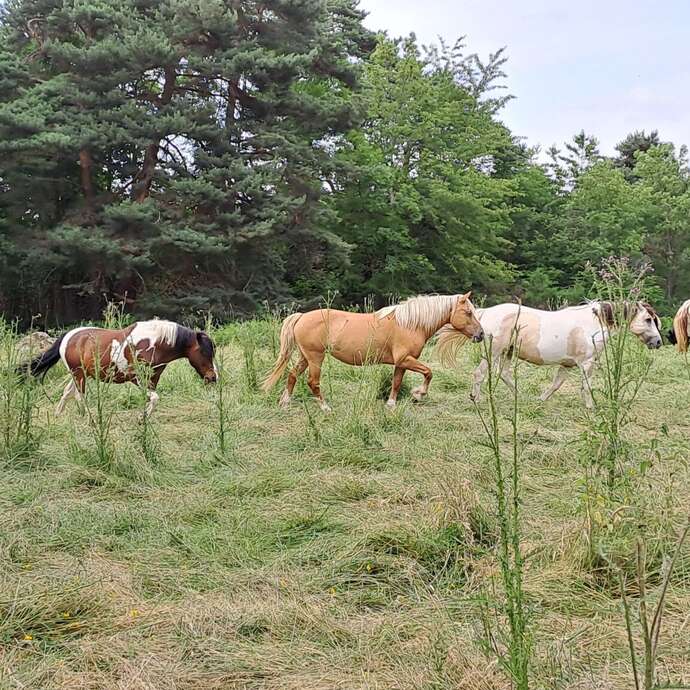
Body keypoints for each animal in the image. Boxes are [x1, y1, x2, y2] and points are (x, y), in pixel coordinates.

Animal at [21, 320, 217, 416]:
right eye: (205, 352)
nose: (213, 377)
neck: (155, 343)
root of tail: (68, 336)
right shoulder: (138, 379)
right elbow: (155, 398)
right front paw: (142, 419)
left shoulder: (152, 379)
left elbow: (152, 399)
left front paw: (143, 419)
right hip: (79, 375)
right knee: (79, 396)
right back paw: (89, 419)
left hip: (79, 374)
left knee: (67, 393)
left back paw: (58, 416)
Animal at [262, 293, 484, 410]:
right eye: (468, 312)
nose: (481, 334)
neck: (410, 324)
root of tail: (301, 316)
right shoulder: (406, 359)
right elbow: (429, 372)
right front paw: (418, 394)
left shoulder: (401, 363)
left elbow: (396, 382)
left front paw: (391, 405)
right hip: (316, 357)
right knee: (312, 382)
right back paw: (325, 407)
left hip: (305, 357)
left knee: (292, 375)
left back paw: (285, 402)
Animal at [437, 301, 662, 408]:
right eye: (648, 319)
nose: (658, 342)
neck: (593, 324)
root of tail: (485, 313)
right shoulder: (587, 364)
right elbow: (587, 387)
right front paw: (592, 407)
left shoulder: (567, 364)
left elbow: (556, 385)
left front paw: (541, 400)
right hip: (494, 352)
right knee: (479, 374)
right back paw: (477, 398)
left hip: (508, 352)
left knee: (505, 374)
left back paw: (521, 397)